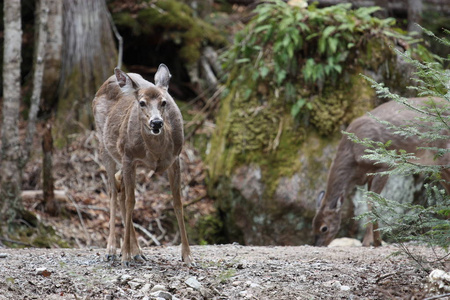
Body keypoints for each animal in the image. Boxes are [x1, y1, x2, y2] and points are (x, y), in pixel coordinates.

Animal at [92, 64, 192, 266]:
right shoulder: (129, 156)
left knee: (119, 186)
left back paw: (136, 251)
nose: (156, 122)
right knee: (113, 191)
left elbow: (178, 202)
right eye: (142, 103)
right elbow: (131, 202)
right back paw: (112, 250)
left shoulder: (175, 158)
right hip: (105, 146)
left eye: (164, 102)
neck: (156, 152)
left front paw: (188, 256)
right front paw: (124, 256)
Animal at [312, 97, 450, 247]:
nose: (318, 245)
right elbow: (369, 203)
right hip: (437, 164)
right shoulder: (368, 175)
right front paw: (372, 241)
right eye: (313, 226)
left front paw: (372, 242)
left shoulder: (383, 165)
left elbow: (373, 202)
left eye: (324, 228)